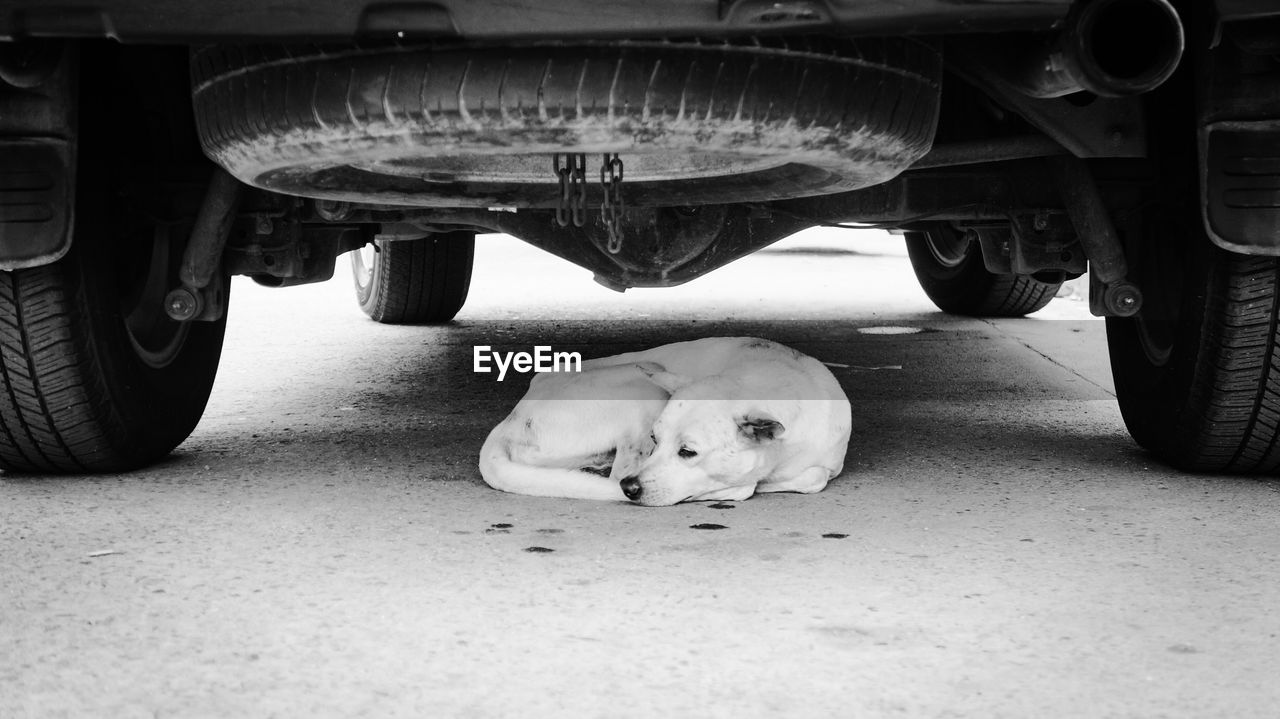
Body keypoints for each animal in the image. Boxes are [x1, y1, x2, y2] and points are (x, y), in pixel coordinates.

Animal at [478, 335, 849, 504]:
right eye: (656, 440)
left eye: (688, 452)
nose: (631, 489)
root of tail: (509, 421)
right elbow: (751, 486)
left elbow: (814, 476)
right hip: (641, 388)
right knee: (617, 470)